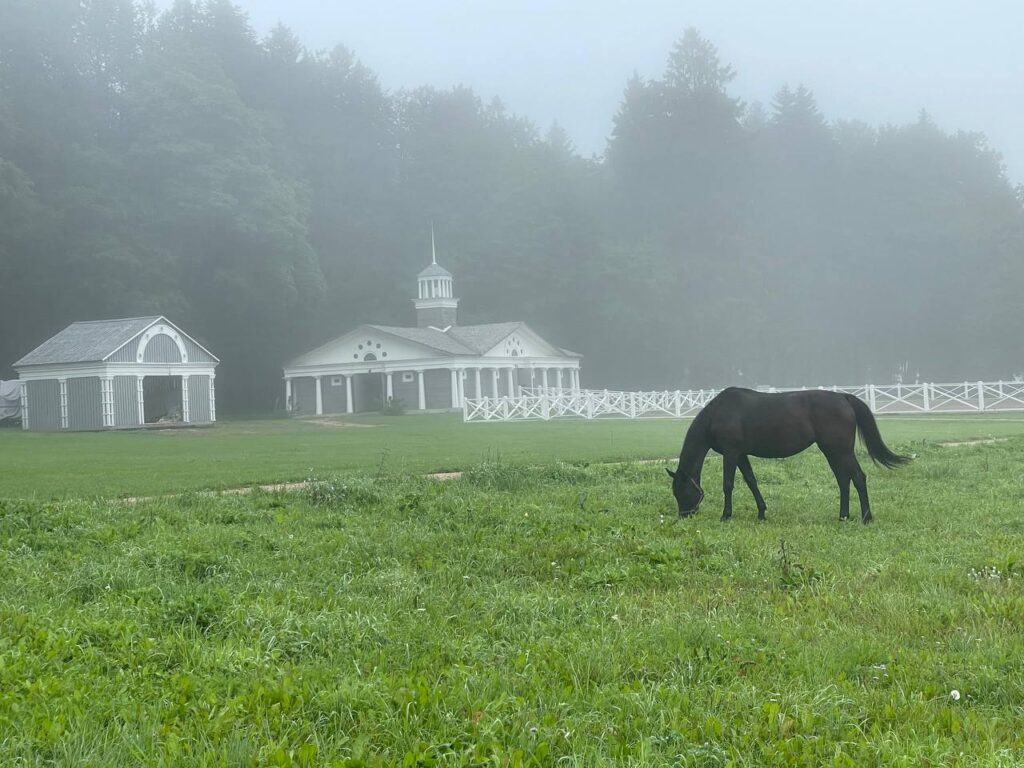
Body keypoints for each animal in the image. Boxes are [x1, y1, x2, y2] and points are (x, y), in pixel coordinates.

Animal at [667, 391, 909, 524]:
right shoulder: (742, 454)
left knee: (857, 477)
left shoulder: (731, 452)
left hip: (840, 450)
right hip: (832, 451)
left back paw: (866, 517)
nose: (685, 515)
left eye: (681, 491)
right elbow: (752, 482)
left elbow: (728, 484)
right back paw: (843, 516)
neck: (718, 413)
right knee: (843, 480)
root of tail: (844, 398)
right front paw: (761, 513)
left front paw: (726, 515)